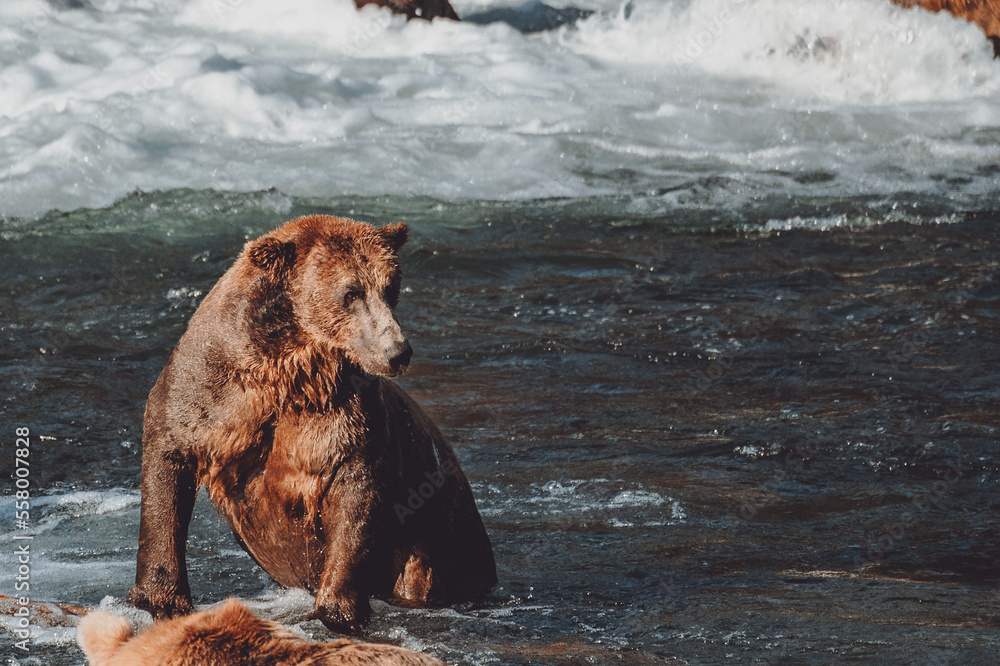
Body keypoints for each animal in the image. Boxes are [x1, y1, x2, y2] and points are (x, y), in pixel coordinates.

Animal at [127, 215, 496, 635]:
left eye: (391, 287)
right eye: (351, 292)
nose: (398, 352)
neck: (288, 364)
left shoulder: (342, 414)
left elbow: (354, 495)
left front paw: (334, 610)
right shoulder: (209, 389)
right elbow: (168, 467)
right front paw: (161, 598)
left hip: (439, 543)